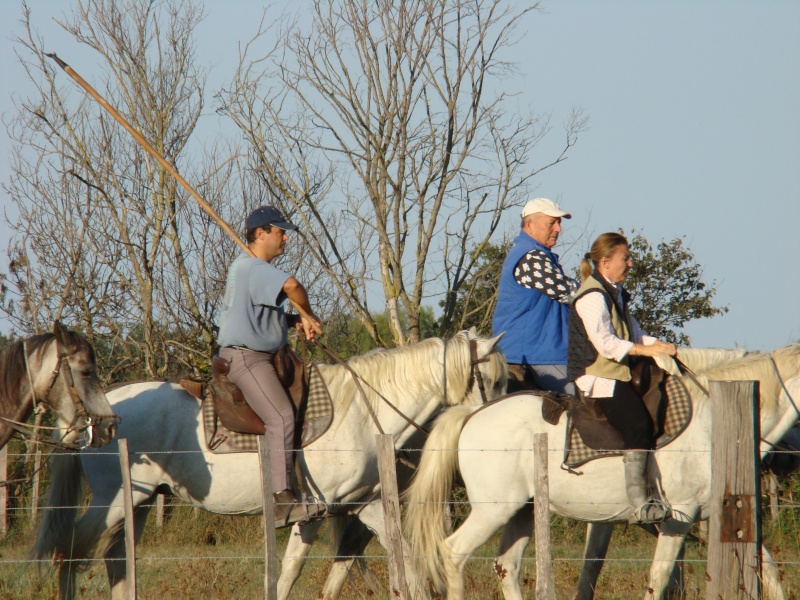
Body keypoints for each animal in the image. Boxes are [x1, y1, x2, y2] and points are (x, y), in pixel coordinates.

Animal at [34, 330, 506, 596]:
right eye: (497, 380)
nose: (494, 426)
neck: (360, 408)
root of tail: (94, 416)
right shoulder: (314, 513)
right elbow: (290, 573)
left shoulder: (361, 505)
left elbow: (402, 563)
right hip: (114, 500)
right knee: (68, 550)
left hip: (142, 501)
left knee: (113, 557)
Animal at [406, 344, 800, 596]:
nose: (787, 459)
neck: (713, 420)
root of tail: (473, 414)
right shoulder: (679, 516)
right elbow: (658, 576)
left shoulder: (716, 516)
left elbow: (767, 568)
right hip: (493, 511)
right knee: (454, 553)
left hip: (522, 512)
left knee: (507, 566)